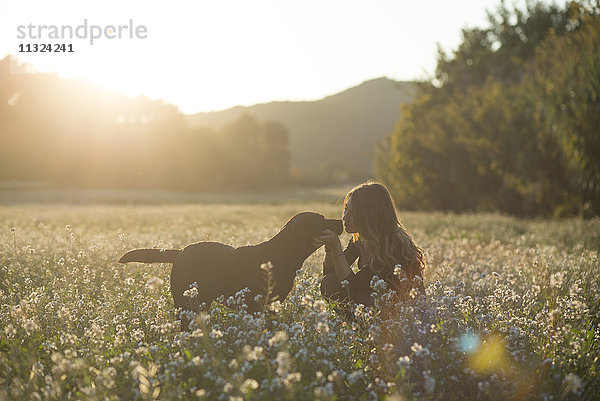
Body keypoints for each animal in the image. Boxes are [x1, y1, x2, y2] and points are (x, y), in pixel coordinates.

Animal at [118, 211, 342, 324]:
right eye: (322, 220)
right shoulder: (257, 307)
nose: (340, 220)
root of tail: (180, 252)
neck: (284, 253)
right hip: (188, 303)